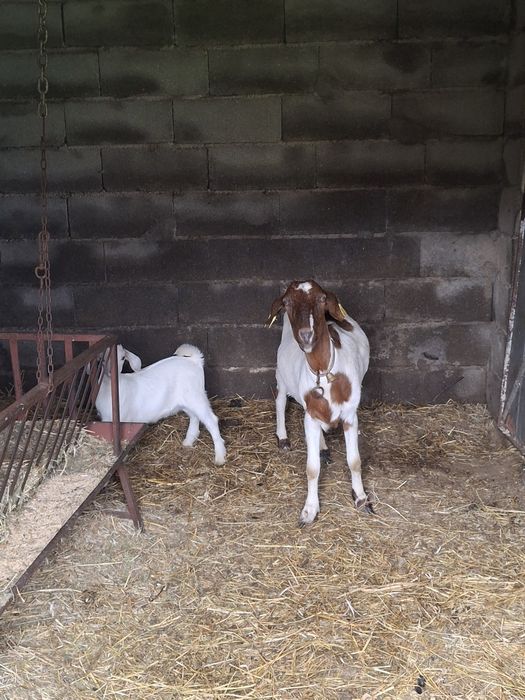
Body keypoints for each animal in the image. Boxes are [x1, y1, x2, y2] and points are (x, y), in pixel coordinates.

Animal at [95, 344, 226, 465]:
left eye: (123, 358)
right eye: (102, 358)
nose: (111, 372)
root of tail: (194, 360)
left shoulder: (121, 420)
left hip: (195, 395)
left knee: (211, 420)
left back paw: (220, 456)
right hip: (186, 400)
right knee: (194, 416)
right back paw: (189, 441)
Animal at [268, 280, 370, 525]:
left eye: (322, 299)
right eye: (286, 303)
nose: (306, 335)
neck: (324, 372)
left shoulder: (350, 415)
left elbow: (354, 460)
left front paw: (361, 498)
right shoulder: (311, 416)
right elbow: (312, 468)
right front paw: (309, 510)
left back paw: (323, 447)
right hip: (281, 375)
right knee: (280, 401)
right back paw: (283, 437)